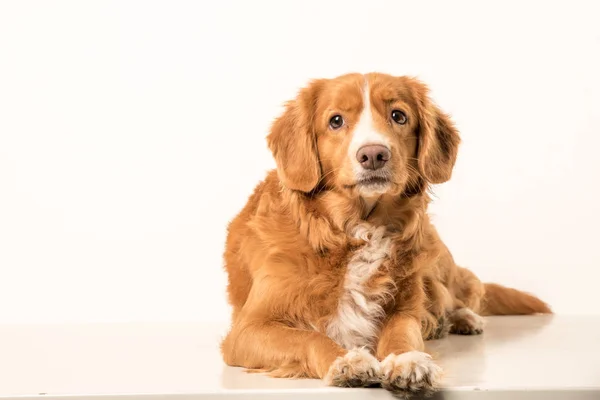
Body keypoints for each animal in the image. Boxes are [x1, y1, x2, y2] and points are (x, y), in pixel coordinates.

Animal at [218, 73, 552, 398]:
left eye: (398, 116)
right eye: (336, 120)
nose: (374, 154)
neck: (357, 230)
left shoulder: (404, 309)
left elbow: (403, 334)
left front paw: (409, 362)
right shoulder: (248, 329)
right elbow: (308, 338)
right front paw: (346, 360)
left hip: (438, 261)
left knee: (465, 292)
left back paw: (461, 319)